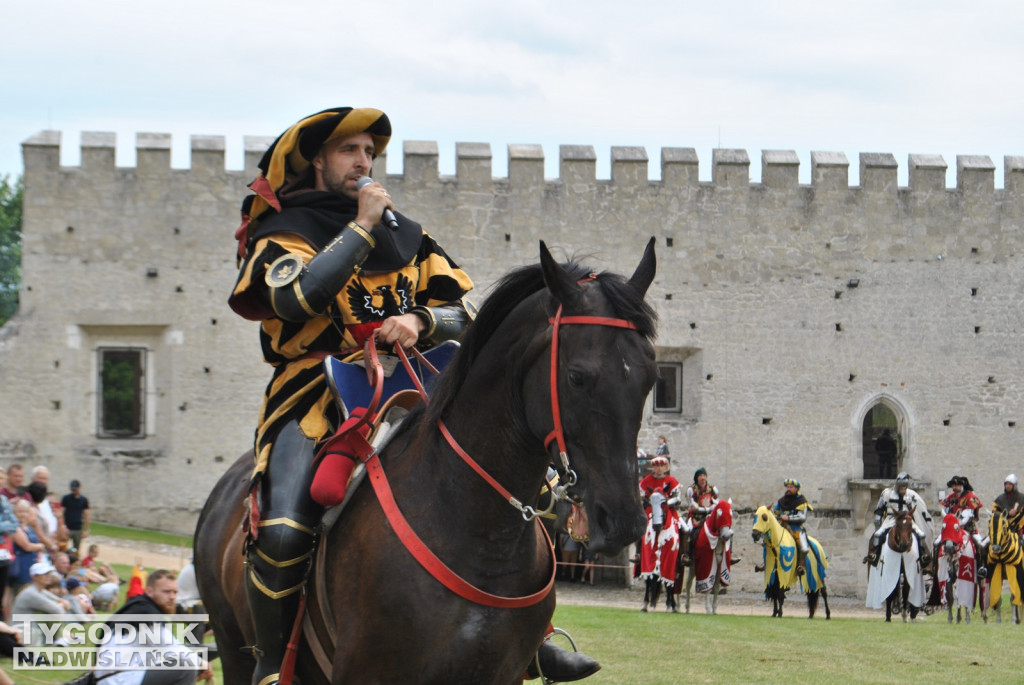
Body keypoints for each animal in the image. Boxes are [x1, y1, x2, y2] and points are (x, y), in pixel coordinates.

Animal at [193, 237, 655, 679]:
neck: (478, 532)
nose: (624, 520)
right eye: (577, 377)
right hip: (236, 648)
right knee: (282, 541)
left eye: (650, 378)